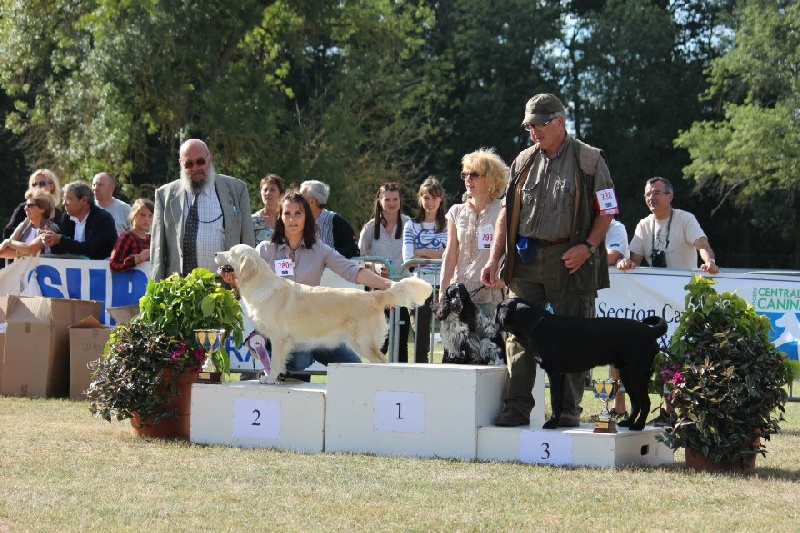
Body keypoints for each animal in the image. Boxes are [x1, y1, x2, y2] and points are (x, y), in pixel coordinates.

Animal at [216, 244, 432, 383]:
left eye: (232, 252)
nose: (217, 253)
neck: (260, 283)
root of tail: (374, 295)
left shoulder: (279, 338)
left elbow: (276, 361)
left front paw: (270, 378)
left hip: (363, 341)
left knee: (381, 360)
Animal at [495, 298, 667, 431]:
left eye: (498, 309)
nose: (493, 321)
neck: (537, 325)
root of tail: (650, 331)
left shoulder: (554, 371)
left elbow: (555, 400)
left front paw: (552, 423)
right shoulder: (560, 374)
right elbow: (558, 401)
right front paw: (557, 422)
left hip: (637, 374)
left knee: (645, 402)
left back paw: (638, 425)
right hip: (627, 374)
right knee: (636, 402)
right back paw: (628, 422)